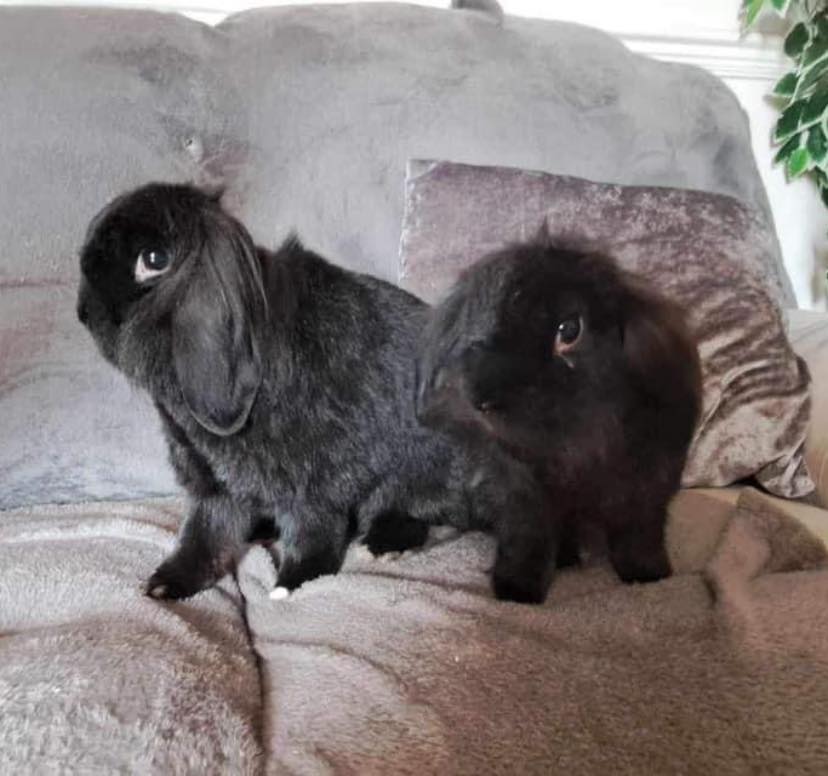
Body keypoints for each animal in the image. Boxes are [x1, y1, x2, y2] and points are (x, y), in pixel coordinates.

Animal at [77, 182, 526, 601]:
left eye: (154, 260)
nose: (82, 312)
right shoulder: (214, 485)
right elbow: (205, 535)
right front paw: (167, 584)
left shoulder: (313, 484)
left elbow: (314, 535)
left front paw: (291, 584)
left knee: (431, 515)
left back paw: (384, 544)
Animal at [416, 236, 702, 603]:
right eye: (477, 325)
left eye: (569, 331)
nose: (483, 400)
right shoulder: (522, 497)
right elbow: (528, 542)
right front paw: (517, 592)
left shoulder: (647, 488)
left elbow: (639, 535)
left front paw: (647, 576)